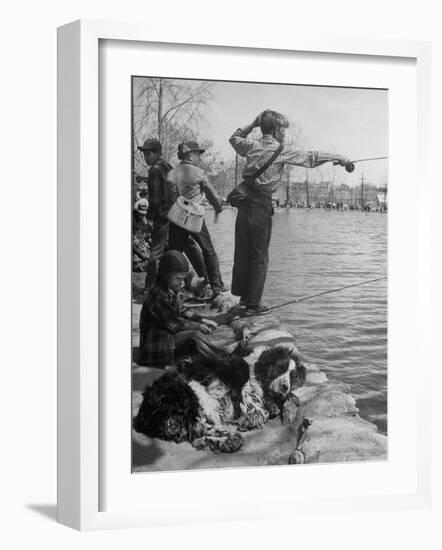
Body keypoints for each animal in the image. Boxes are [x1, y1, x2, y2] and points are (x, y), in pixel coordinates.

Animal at [133, 350, 306, 452]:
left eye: (292, 375)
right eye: (279, 369)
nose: (285, 386)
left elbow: (290, 397)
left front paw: (288, 411)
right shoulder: (242, 390)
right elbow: (256, 406)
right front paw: (251, 419)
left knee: (197, 436)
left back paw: (229, 441)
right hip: (197, 392)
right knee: (198, 432)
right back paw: (230, 438)